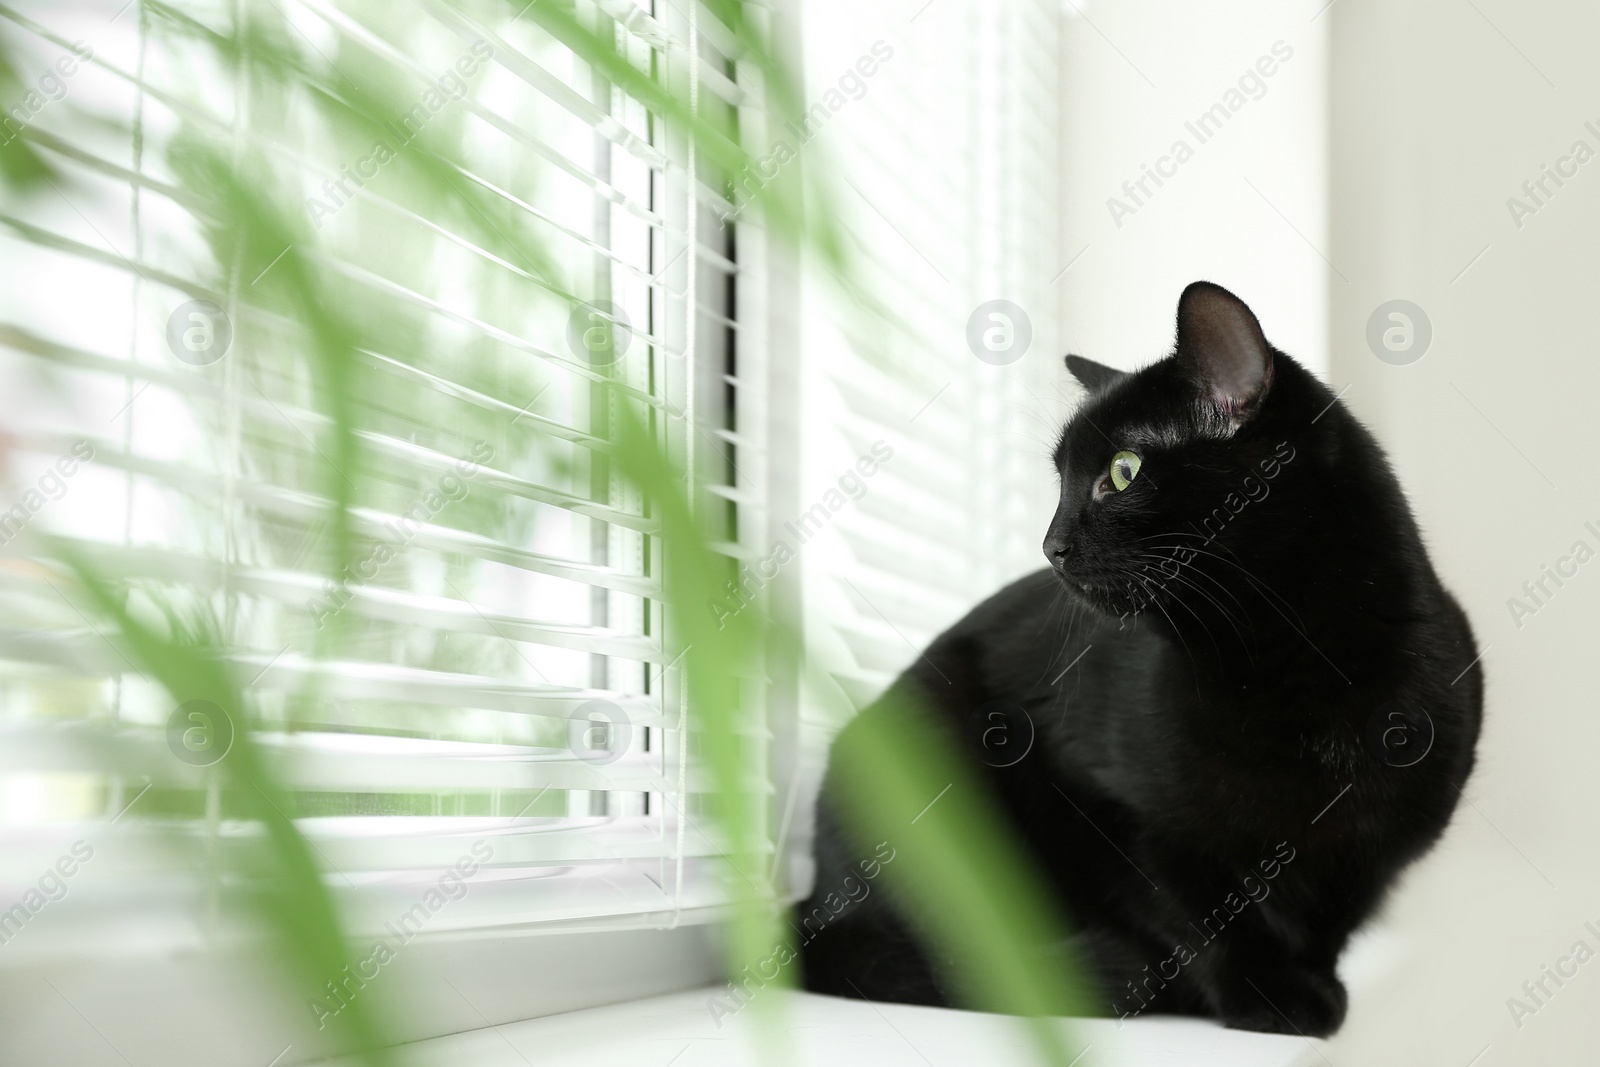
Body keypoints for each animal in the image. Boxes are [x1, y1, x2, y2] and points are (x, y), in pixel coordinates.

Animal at [800, 281, 1484, 1036]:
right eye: (1060, 481)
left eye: (1121, 474)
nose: (1050, 543)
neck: (1290, 664)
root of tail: (811, 907)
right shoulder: (1115, 813)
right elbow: (1203, 913)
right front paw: (1266, 995)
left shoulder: (1373, 843)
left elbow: (1331, 915)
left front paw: (1312, 988)